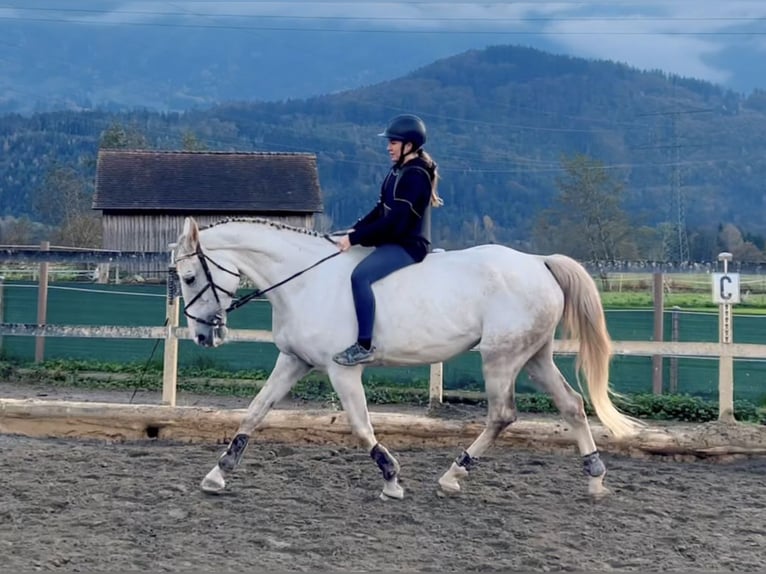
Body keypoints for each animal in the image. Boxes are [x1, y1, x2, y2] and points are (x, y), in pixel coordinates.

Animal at [172, 218, 640, 502]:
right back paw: (595, 477)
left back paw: (454, 474)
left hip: (501, 358)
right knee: (572, 404)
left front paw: (392, 478)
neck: (305, 281)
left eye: (190, 277)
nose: (203, 336)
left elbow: (361, 426)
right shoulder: (293, 360)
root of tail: (539, 263)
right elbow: (254, 412)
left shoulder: (342, 369)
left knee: (502, 415)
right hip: (534, 356)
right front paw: (218, 473)